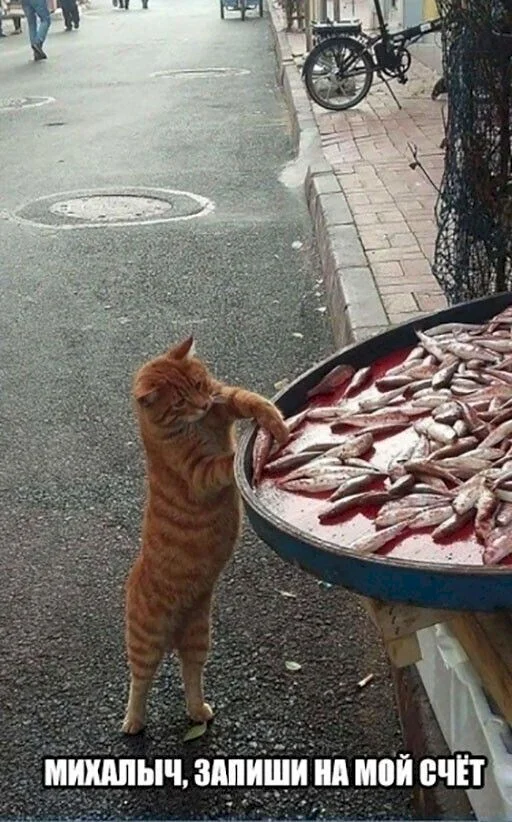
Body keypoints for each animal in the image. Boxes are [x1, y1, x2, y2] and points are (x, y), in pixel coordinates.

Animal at [122, 335, 289, 734]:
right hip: (145, 637)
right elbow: (225, 461)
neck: (195, 425)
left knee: (190, 674)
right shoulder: (197, 472)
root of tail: (174, 633)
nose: (200, 404)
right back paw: (133, 720)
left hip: (198, 634)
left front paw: (270, 415)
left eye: (198, 384)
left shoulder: (221, 399)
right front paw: (243, 453)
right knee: (140, 680)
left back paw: (198, 710)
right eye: (179, 402)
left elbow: (244, 397)